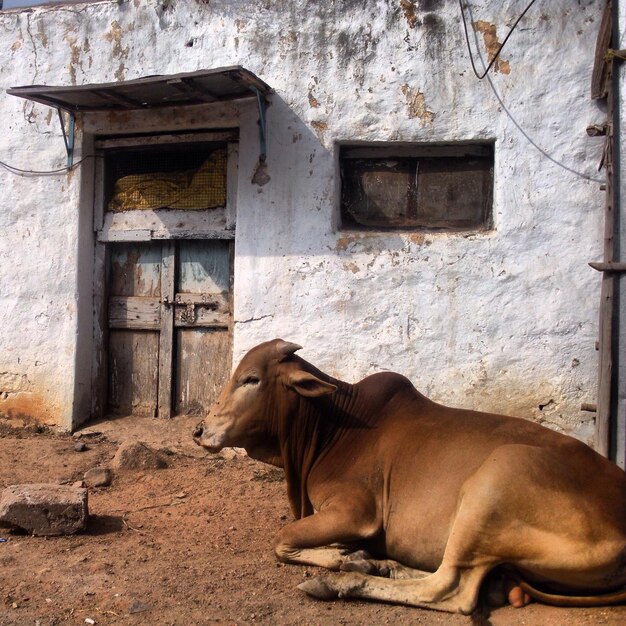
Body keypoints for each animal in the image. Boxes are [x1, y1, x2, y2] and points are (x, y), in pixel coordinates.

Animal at [193, 339, 626, 614]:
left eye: (251, 379)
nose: (199, 430)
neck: (332, 429)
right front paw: (353, 555)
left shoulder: (356, 512)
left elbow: (282, 539)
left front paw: (341, 558)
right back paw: (379, 564)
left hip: (493, 483)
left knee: (449, 589)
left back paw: (344, 581)